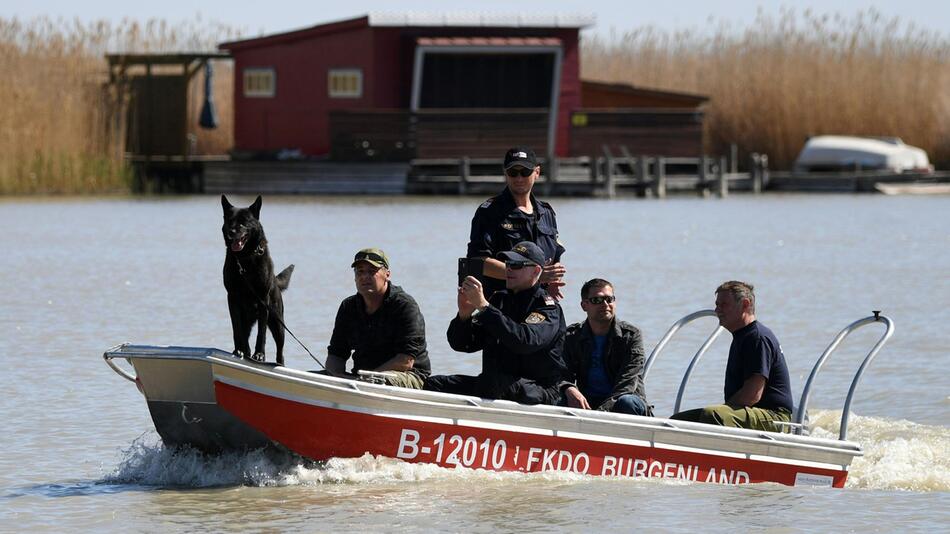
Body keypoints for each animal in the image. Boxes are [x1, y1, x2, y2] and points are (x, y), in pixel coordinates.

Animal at [222, 197, 294, 368]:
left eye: (243, 222)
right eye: (229, 221)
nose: (231, 232)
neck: (245, 258)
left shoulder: (263, 300)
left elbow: (261, 332)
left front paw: (259, 354)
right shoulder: (232, 298)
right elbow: (236, 329)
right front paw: (239, 351)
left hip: (278, 323)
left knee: (280, 352)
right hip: (248, 319)